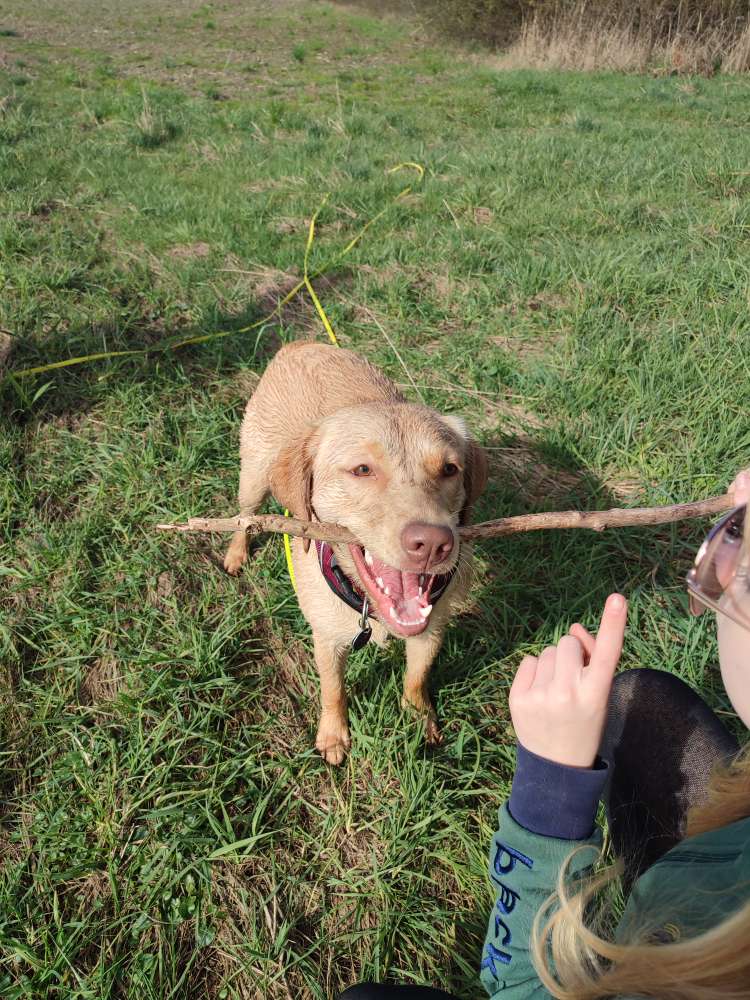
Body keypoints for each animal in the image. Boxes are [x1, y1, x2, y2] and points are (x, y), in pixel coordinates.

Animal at [225, 340, 488, 760]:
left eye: (450, 469)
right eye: (363, 470)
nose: (433, 544)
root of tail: (300, 344)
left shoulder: (432, 627)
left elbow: (417, 678)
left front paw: (419, 718)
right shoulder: (327, 638)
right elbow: (333, 690)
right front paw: (334, 735)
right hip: (253, 477)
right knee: (245, 516)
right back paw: (236, 553)